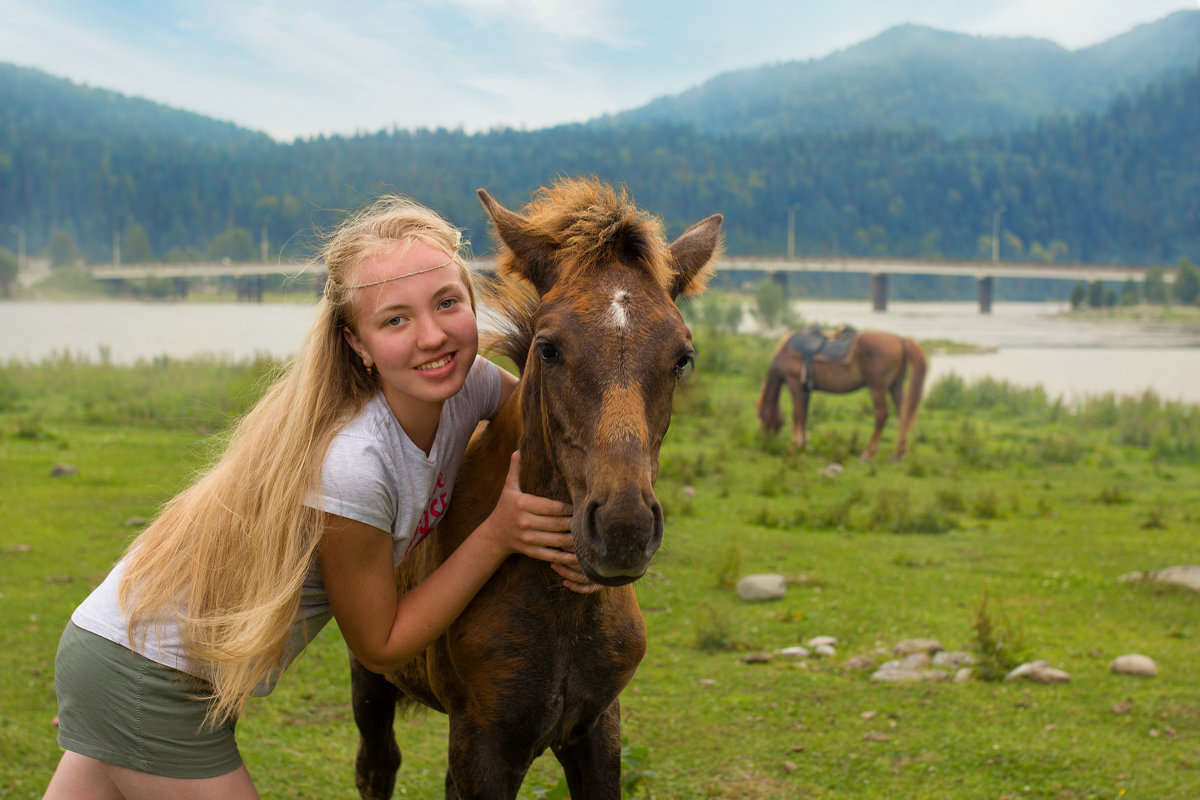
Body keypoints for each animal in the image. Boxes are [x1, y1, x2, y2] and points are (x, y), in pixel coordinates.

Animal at [348, 179, 720, 800]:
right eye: (548, 348)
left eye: (683, 359)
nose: (622, 530)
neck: (563, 608)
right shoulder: (483, 746)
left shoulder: (598, 731)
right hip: (370, 677)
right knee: (377, 766)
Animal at [758, 328, 926, 460]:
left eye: (762, 416)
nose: (765, 442)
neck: (785, 353)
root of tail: (900, 340)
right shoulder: (806, 391)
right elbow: (804, 415)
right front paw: (803, 444)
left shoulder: (795, 385)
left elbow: (797, 414)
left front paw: (795, 446)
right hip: (895, 387)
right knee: (903, 414)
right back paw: (899, 453)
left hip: (877, 388)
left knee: (882, 414)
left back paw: (868, 453)